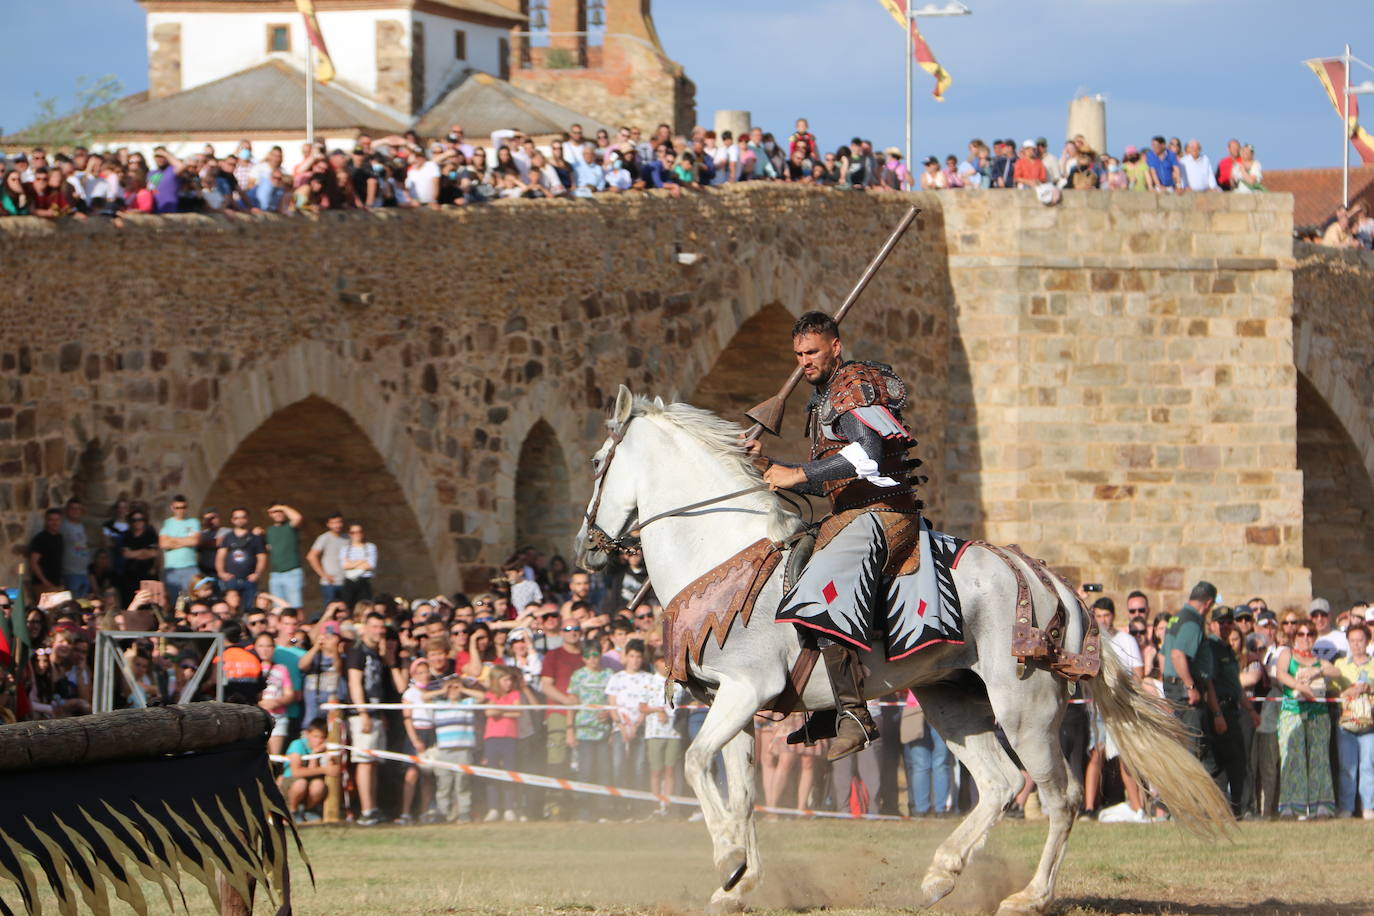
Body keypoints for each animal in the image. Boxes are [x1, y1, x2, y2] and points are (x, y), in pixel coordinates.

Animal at [574, 390, 1231, 916]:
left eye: (599, 463)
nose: (585, 547)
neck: (722, 551)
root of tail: (1052, 583)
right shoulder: (729, 702)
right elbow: (738, 790)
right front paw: (737, 877)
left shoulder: (745, 691)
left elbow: (693, 765)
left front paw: (730, 858)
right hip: (952, 701)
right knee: (997, 785)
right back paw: (942, 873)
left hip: (1027, 708)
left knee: (1058, 797)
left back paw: (1029, 897)